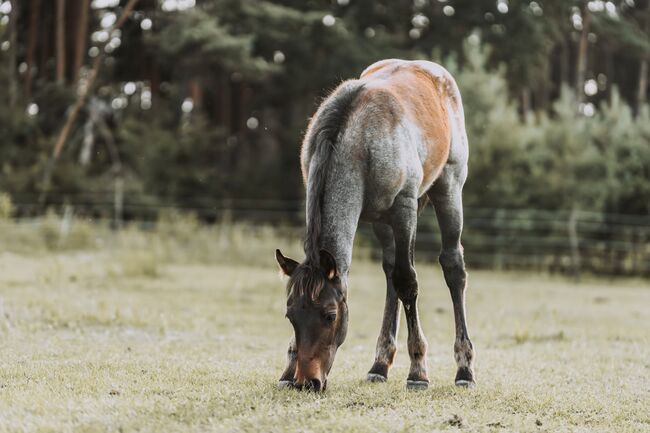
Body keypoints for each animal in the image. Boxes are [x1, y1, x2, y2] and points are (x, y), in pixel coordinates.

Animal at [270, 58, 474, 392]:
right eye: (289, 316)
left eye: (330, 315)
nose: (308, 381)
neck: (357, 141)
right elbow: (397, 278)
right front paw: (288, 369)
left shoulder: (404, 208)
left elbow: (408, 282)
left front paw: (418, 372)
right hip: (382, 221)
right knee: (391, 272)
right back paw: (380, 364)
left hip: (449, 188)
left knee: (451, 267)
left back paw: (464, 369)